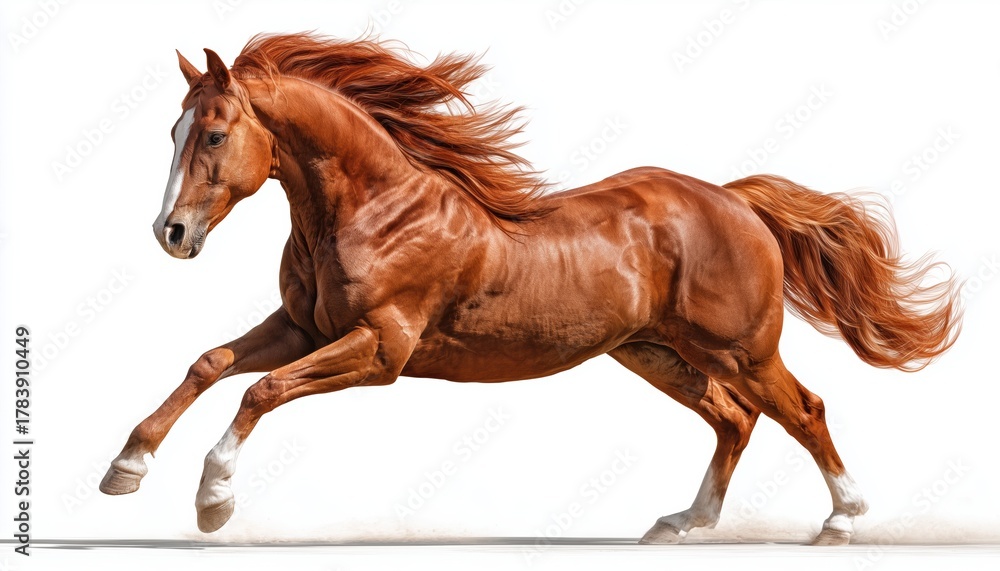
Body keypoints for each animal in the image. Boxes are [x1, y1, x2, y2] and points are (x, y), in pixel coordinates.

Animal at [100, 33, 962, 545]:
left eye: (214, 133)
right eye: (173, 132)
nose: (171, 233)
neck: (375, 210)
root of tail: (734, 200)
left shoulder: (381, 349)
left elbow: (263, 389)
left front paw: (212, 500)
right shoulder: (303, 327)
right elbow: (211, 363)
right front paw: (125, 469)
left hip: (739, 347)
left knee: (801, 408)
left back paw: (841, 521)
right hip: (655, 353)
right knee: (734, 418)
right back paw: (684, 522)